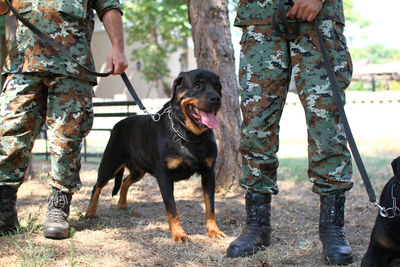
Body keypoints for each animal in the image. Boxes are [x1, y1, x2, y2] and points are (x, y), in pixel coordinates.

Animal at [85, 69, 225, 243]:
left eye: (217, 86)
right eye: (197, 85)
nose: (216, 98)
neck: (190, 135)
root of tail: (118, 123)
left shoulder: (208, 173)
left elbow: (210, 206)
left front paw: (214, 230)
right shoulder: (164, 176)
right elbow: (172, 209)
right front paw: (179, 234)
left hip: (139, 170)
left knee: (125, 182)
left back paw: (122, 204)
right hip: (110, 164)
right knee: (97, 187)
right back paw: (90, 213)